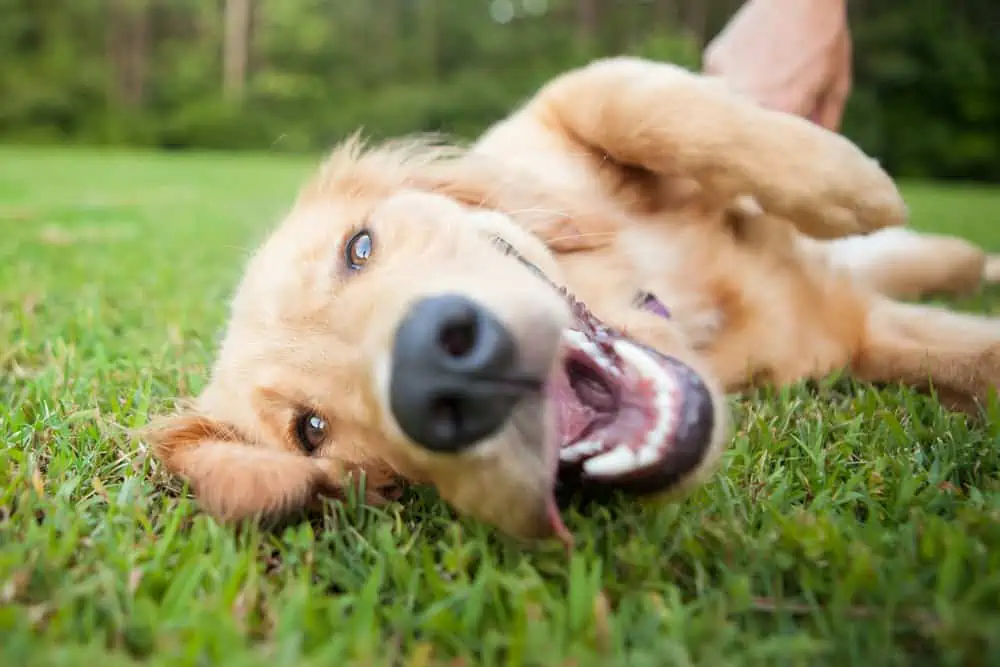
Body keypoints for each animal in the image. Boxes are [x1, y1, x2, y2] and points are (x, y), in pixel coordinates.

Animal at [145, 57, 996, 548]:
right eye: (311, 430)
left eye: (358, 248)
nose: (439, 371)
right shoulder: (849, 335)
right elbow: (970, 357)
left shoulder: (558, 111)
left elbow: (636, 101)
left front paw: (847, 183)